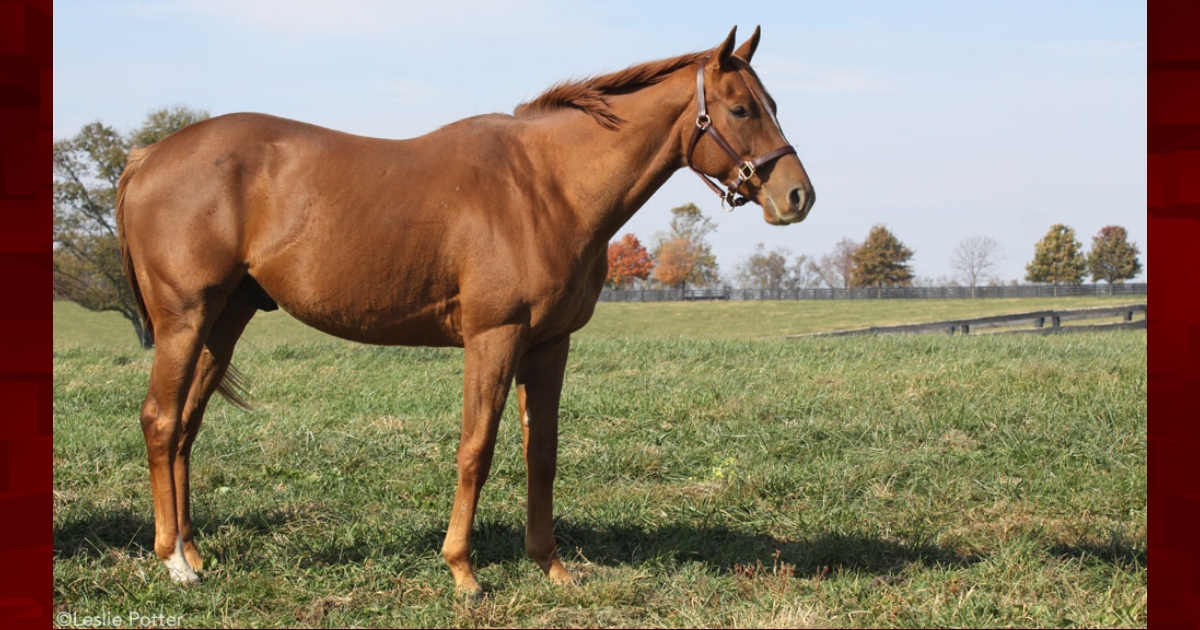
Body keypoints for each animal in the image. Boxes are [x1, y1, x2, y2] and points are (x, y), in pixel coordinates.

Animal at [117, 25, 816, 600]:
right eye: (741, 108)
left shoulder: (549, 345)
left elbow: (543, 453)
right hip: (185, 320)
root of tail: (148, 157)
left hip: (223, 322)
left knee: (186, 428)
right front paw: (462, 572)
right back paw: (172, 562)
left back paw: (193, 553)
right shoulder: (494, 338)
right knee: (160, 421)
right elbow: (475, 447)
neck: (547, 185)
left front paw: (552, 567)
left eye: (775, 106)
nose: (798, 196)